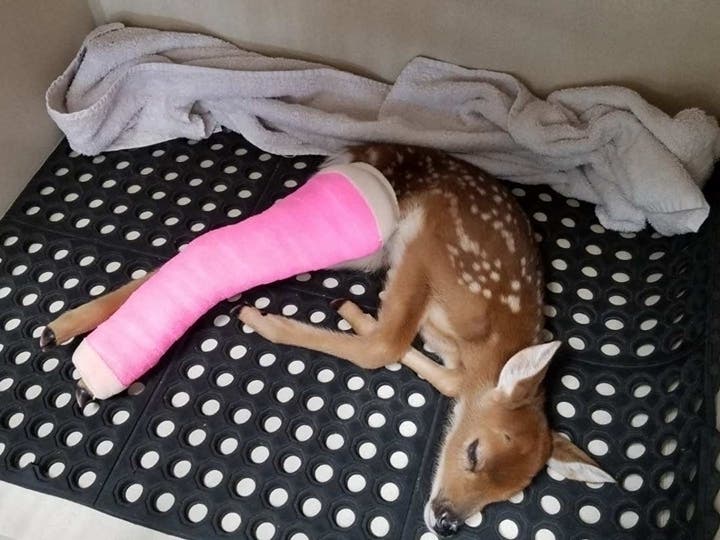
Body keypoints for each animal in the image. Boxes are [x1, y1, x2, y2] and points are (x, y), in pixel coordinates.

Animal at [41, 143, 614, 537]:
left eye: (510, 495)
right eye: (474, 453)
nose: (446, 521)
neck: (486, 345)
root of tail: (361, 151)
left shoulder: (456, 364)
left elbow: (426, 366)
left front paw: (353, 317)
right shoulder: (430, 248)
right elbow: (384, 345)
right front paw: (279, 321)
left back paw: (66, 335)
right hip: (369, 237)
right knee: (210, 246)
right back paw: (71, 336)